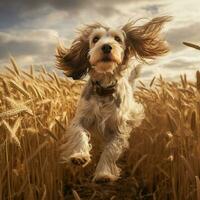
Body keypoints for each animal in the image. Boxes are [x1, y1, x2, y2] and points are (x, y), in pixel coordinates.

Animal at [55, 16, 170, 183]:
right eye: (95, 39)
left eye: (117, 39)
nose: (106, 47)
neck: (104, 86)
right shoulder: (81, 118)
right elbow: (79, 133)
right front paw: (80, 155)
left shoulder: (119, 129)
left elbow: (110, 150)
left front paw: (103, 173)